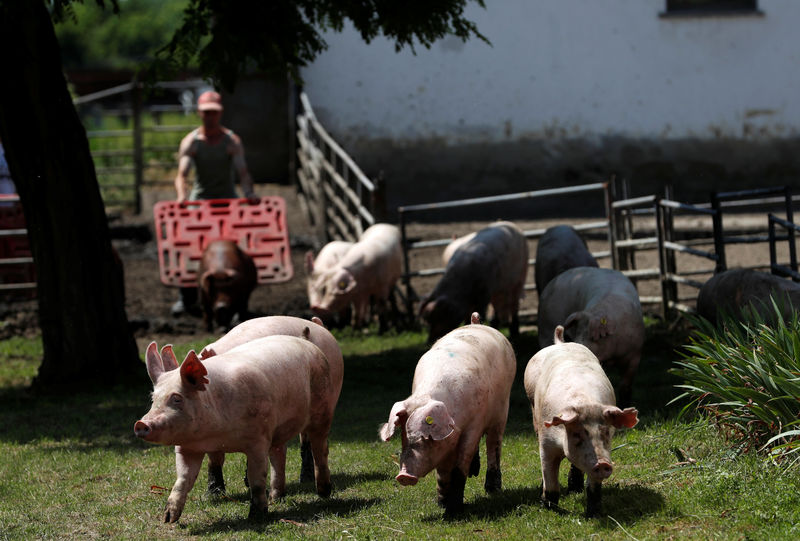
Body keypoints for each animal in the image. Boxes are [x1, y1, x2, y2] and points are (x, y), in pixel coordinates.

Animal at [134, 336, 334, 520]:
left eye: (176, 398)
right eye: (153, 399)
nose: (141, 424)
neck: (215, 437)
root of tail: (309, 345)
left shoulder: (258, 439)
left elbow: (256, 478)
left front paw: (255, 517)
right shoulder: (187, 448)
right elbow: (183, 479)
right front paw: (169, 518)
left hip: (323, 409)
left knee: (320, 449)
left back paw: (324, 493)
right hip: (279, 430)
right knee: (279, 455)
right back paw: (276, 499)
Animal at [378, 312, 516, 516]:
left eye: (426, 437)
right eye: (403, 435)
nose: (404, 475)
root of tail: (477, 324)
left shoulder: (473, 426)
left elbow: (460, 467)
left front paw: (455, 510)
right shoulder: (445, 444)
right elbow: (442, 474)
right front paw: (442, 504)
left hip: (502, 410)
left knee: (494, 445)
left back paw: (492, 489)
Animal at [524, 322, 636, 516]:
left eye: (606, 433)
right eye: (577, 434)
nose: (603, 463)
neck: (584, 403)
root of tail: (559, 343)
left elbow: (593, 486)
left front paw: (593, 513)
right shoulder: (546, 443)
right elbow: (550, 479)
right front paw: (549, 508)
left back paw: (575, 489)